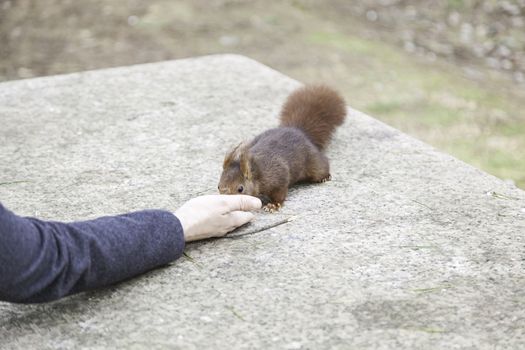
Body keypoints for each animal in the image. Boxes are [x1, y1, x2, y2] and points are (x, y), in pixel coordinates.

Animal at [215, 85, 346, 211]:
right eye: (218, 186)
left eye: (240, 189)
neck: (256, 172)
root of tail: (299, 131)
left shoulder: (279, 176)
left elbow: (280, 193)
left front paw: (273, 205)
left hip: (313, 163)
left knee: (322, 165)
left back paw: (325, 177)